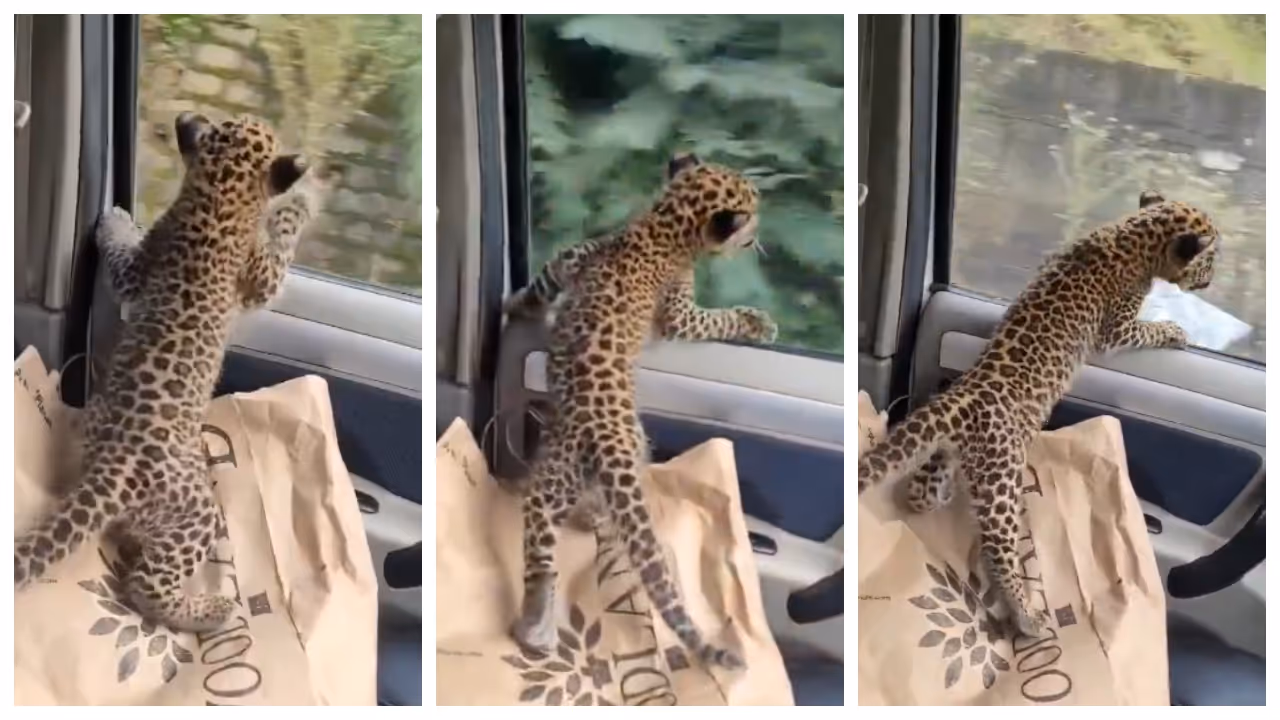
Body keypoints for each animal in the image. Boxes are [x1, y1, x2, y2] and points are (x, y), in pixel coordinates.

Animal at [14, 112, 319, 633]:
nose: (185, 119)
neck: (218, 196)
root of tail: (115, 467)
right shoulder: (248, 274)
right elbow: (277, 243)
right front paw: (299, 201)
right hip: (197, 516)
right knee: (147, 585)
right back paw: (212, 611)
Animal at [508, 153, 777, 670]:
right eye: (751, 211)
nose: (759, 235)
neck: (663, 223)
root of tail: (608, 430)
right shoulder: (675, 311)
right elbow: (718, 318)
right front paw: (757, 321)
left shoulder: (575, 260)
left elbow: (543, 282)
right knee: (552, 547)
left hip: (571, 472)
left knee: (550, 544)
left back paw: (537, 625)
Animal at [857, 190, 1218, 638]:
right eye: (1210, 259)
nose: (1211, 280)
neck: (1135, 233)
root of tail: (961, 398)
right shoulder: (1118, 330)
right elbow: (1147, 329)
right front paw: (1175, 330)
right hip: (1003, 482)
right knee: (999, 553)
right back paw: (1027, 617)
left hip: (951, 458)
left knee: (920, 492)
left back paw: (939, 498)